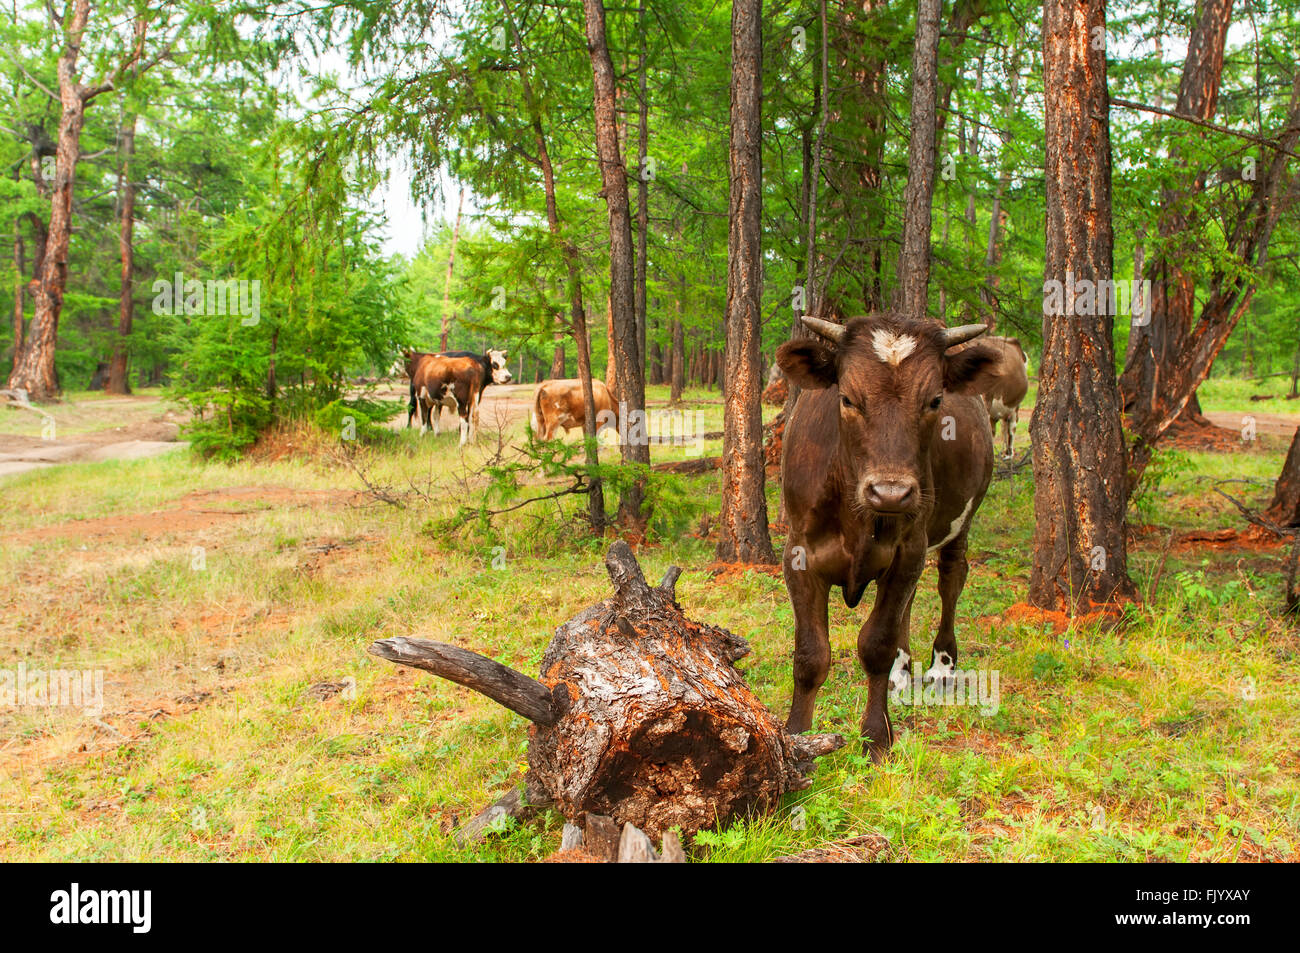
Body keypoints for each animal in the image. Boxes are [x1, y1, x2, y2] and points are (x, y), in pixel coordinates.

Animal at [776, 313, 1002, 762]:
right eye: (847, 398)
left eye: (935, 400)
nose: (891, 492)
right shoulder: (798, 553)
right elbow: (810, 654)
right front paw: (797, 739)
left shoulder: (907, 552)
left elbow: (876, 645)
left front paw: (877, 737)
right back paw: (903, 671)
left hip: (959, 525)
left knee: (951, 580)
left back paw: (941, 666)